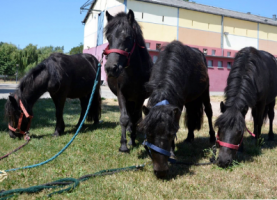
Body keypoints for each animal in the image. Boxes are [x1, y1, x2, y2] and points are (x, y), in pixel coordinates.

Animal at [103, 9, 152, 152]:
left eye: (128, 38)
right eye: (108, 38)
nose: (110, 68)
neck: (134, 73)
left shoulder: (140, 97)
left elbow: (135, 117)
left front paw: (132, 139)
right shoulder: (121, 94)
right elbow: (124, 118)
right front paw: (124, 144)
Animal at [139, 40, 215, 178]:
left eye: (170, 134)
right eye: (149, 134)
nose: (161, 172)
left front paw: (172, 152)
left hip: (204, 92)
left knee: (209, 112)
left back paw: (212, 137)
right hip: (191, 100)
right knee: (191, 116)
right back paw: (189, 137)